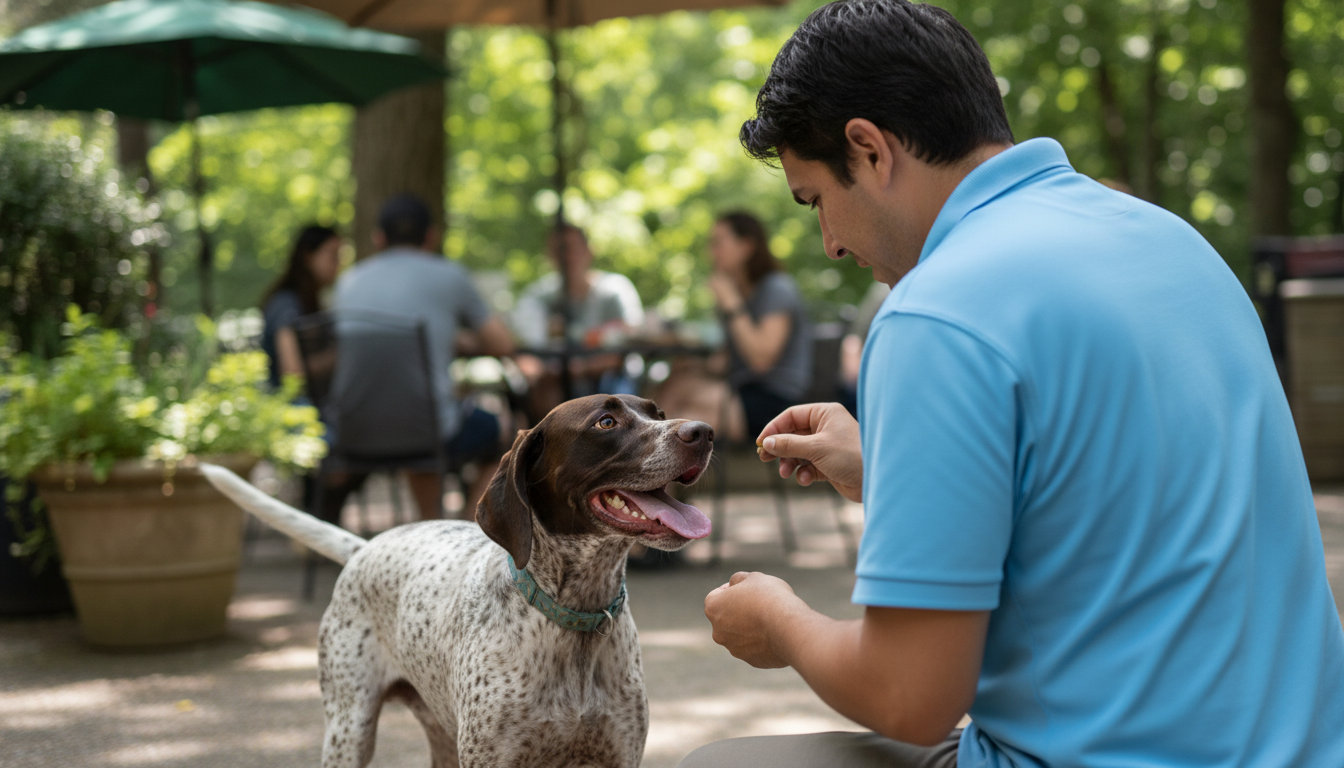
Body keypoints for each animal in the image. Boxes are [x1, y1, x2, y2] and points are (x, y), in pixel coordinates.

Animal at [203, 394, 713, 768]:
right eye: (606, 422)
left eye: (658, 414)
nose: (703, 432)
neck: (572, 617)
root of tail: (364, 547)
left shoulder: (617, 754)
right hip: (349, 730)